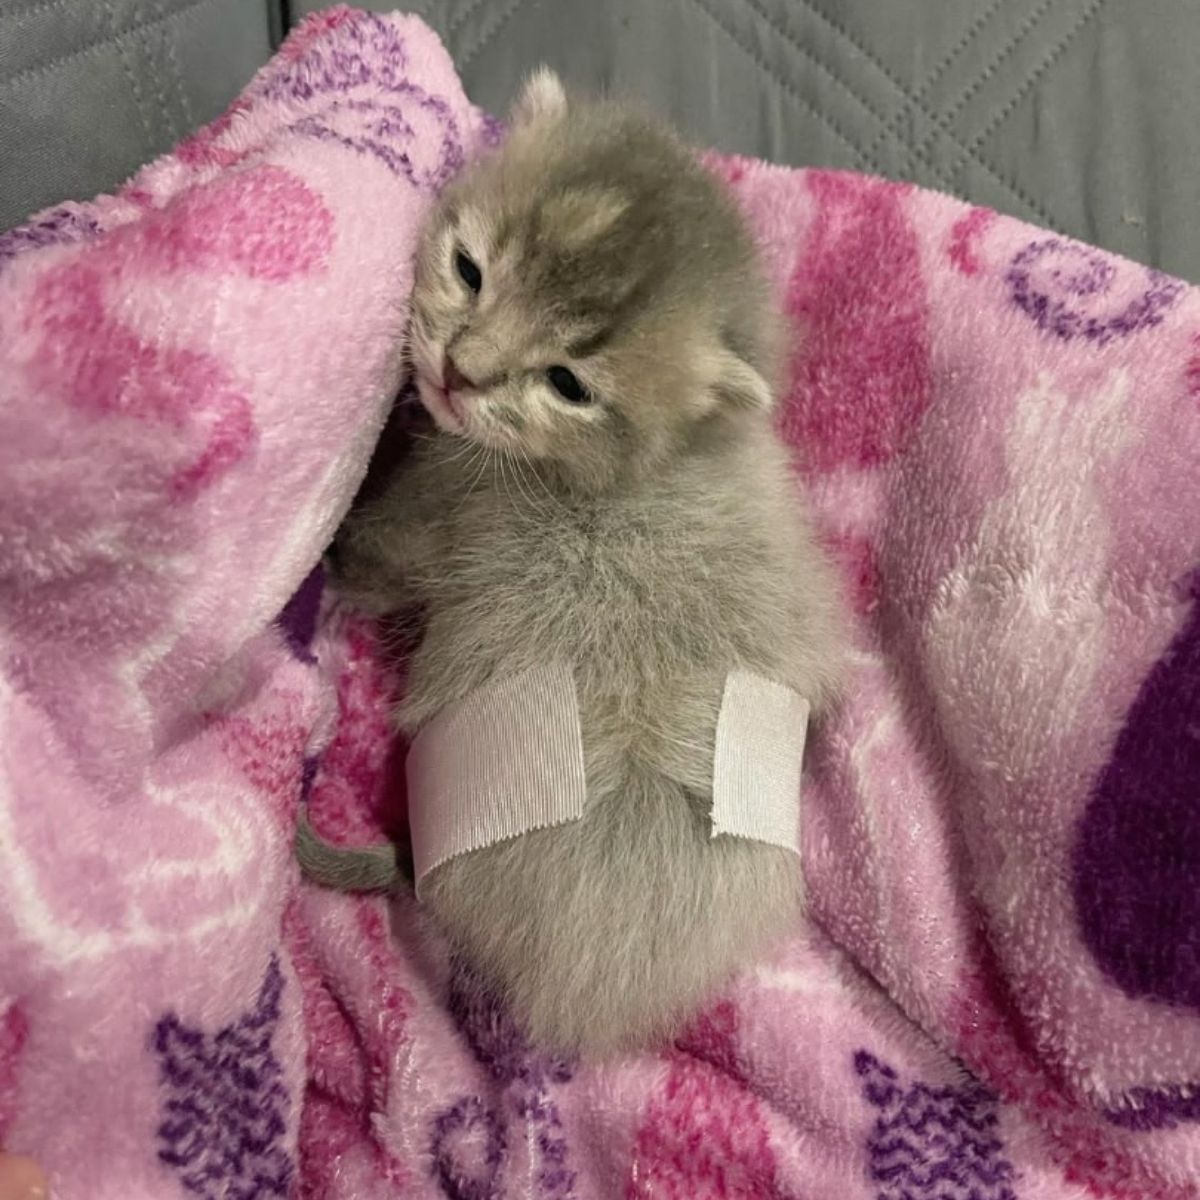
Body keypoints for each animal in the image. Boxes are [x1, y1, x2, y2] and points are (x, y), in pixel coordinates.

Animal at [300, 70, 844, 1056]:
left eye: (567, 385)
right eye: (470, 269)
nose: (459, 370)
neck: (657, 465)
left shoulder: (438, 513)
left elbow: (369, 553)